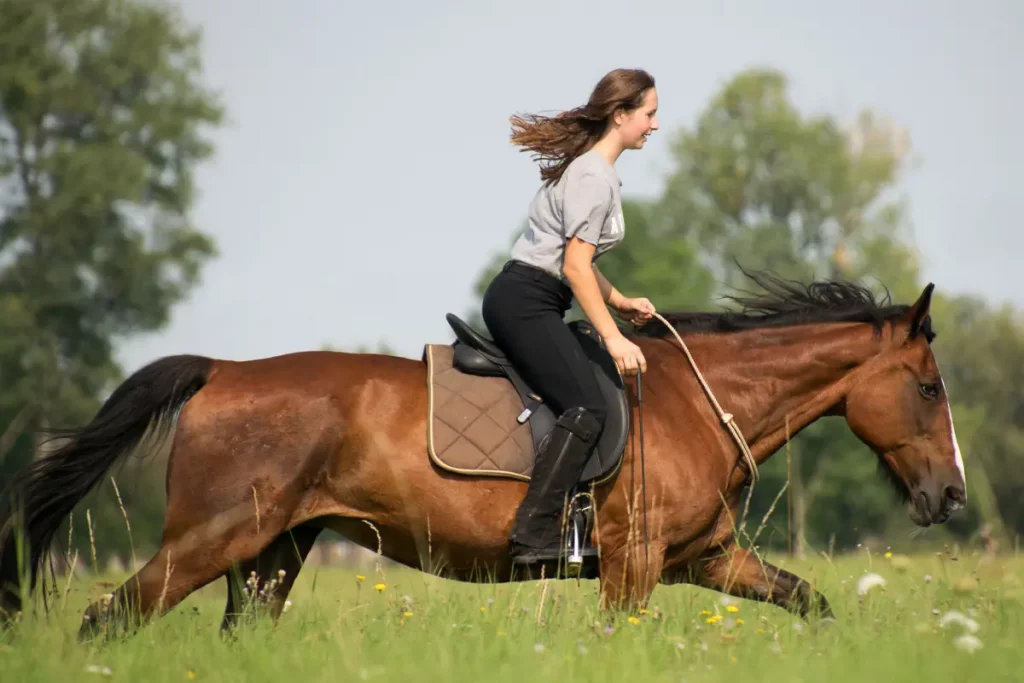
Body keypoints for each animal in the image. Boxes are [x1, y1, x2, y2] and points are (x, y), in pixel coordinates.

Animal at [0, 272, 962, 643]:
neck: (697, 403)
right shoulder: (635, 561)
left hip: (274, 554)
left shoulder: (706, 558)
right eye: (928, 388)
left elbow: (810, 599)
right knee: (106, 619)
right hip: (209, 541)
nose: (950, 498)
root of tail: (223, 371)